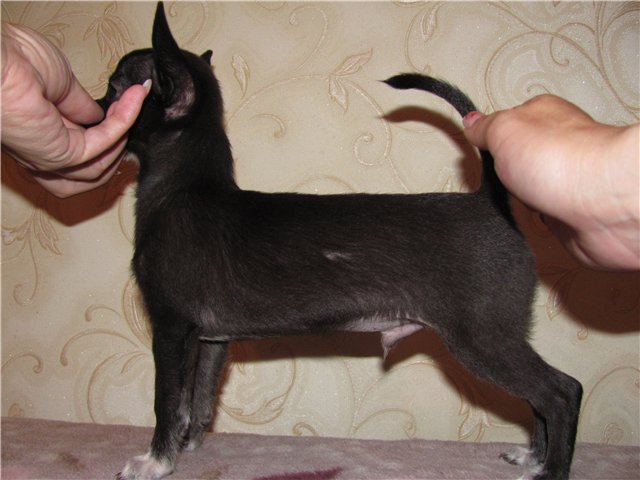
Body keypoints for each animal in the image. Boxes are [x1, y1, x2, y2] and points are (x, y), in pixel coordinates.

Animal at [102, 3, 582, 479]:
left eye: (115, 87)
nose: (96, 107)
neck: (184, 188)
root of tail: (490, 202)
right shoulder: (211, 340)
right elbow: (198, 398)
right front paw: (187, 447)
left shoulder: (170, 329)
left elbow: (168, 401)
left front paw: (155, 461)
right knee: (541, 398)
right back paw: (534, 457)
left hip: (482, 338)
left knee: (561, 393)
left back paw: (551, 469)